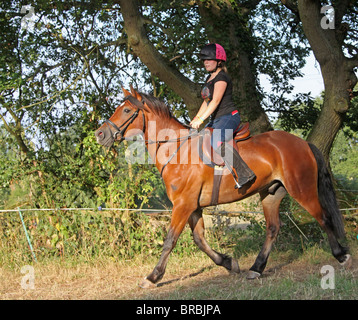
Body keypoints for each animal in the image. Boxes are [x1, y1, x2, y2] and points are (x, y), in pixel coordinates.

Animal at [93, 87, 352, 288]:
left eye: (127, 110)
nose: (99, 134)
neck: (176, 150)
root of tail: (303, 143)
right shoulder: (193, 207)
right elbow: (199, 240)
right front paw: (229, 263)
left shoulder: (183, 205)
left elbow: (170, 240)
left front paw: (153, 277)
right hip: (270, 194)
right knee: (273, 229)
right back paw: (256, 268)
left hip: (302, 190)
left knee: (323, 217)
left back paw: (341, 255)